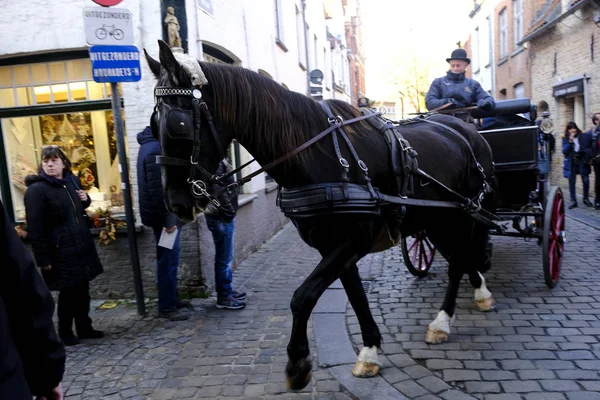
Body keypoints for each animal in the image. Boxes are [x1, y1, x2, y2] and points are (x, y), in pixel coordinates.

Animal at [146, 40, 496, 390]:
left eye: (178, 124)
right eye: (152, 124)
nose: (175, 203)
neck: (316, 155)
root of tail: (467, 131)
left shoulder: (354, 240)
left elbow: (302, 297)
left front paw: (298, 363)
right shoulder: (334, 246)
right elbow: (355, 295)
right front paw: (369, 352)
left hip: (464, 214)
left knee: (458, 262)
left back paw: (442, 322)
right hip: (436, 219)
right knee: (460, 256)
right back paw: (479, 292)